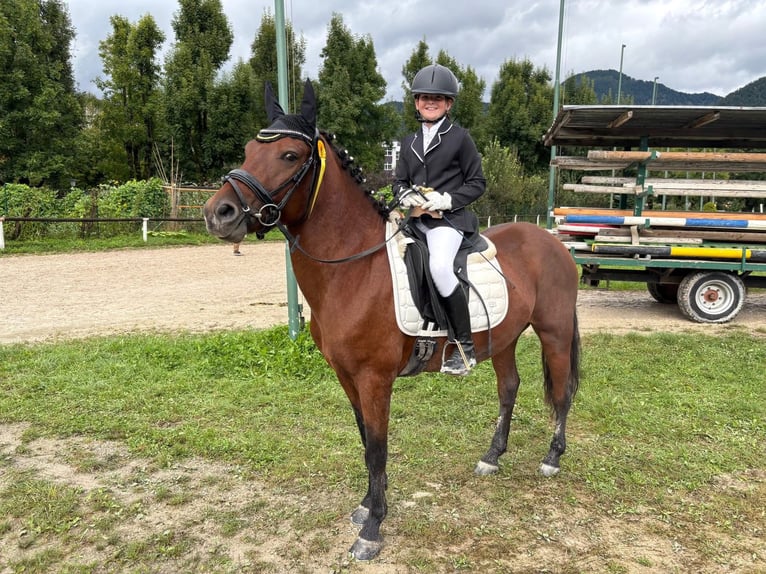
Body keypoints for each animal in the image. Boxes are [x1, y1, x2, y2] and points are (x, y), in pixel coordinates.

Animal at [203, 80, 581, 561]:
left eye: (289, 155)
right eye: (250, 149)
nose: (219, 213)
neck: (352, 268)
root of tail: (551, 241)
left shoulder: (374, 379)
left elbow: (379, 449)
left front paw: (373, 529)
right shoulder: (346, 376)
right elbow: (366, 441)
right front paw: (367, 506)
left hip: (554, 332)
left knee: (562, 391)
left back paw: (552, 457)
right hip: (504, 338)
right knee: (509, 388)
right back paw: (492, 456)